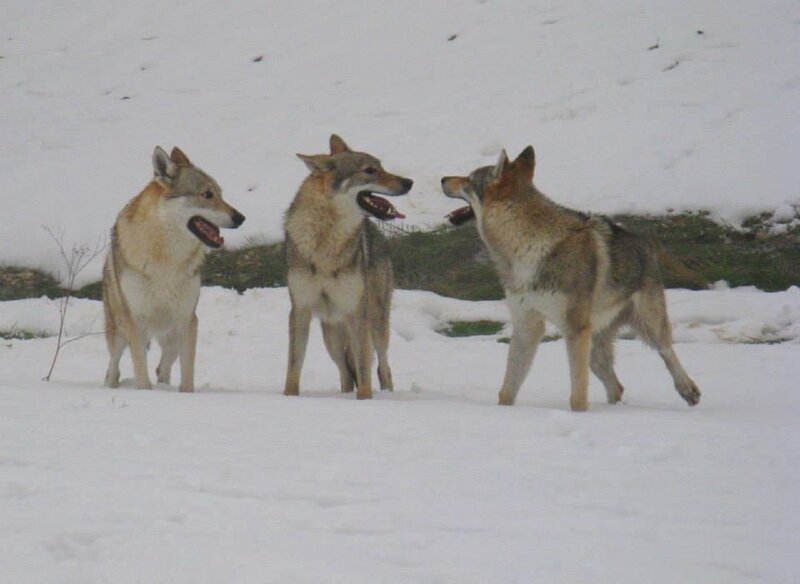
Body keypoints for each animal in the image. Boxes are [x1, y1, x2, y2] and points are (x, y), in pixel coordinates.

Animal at [103, 146, 245, 392]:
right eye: (207, 194)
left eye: (220, 194)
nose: (241, 218)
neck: (166, 260)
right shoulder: (135, 321)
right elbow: (141, 373)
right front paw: (145, 392)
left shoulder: (187, 320)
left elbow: (187, 375)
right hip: (119, 333)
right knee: (113, 370)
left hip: (173, 337)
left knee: (162, 369)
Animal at [283, 134, 413, 400]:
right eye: (370, 170)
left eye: (381, 166)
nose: (409, 182)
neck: (324, 241)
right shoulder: (300, 310)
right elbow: (293, 368)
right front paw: (289, 398)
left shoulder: (356, 312)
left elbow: (364, 371)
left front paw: (364, 400)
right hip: (331, 334)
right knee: (345, 372)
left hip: (376, 323)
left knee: (382, 367)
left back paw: (387, 394)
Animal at [441, 146, 701, 411]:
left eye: (468, 179)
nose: (442, 178)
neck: (526, 247)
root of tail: (644, 241)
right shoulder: (527, 326)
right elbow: (507, 390)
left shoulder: (574, 329)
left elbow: (577, 395)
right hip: (595, 352)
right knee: (617, 386)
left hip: (647, 327)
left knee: (667, 351)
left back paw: (688, 391)